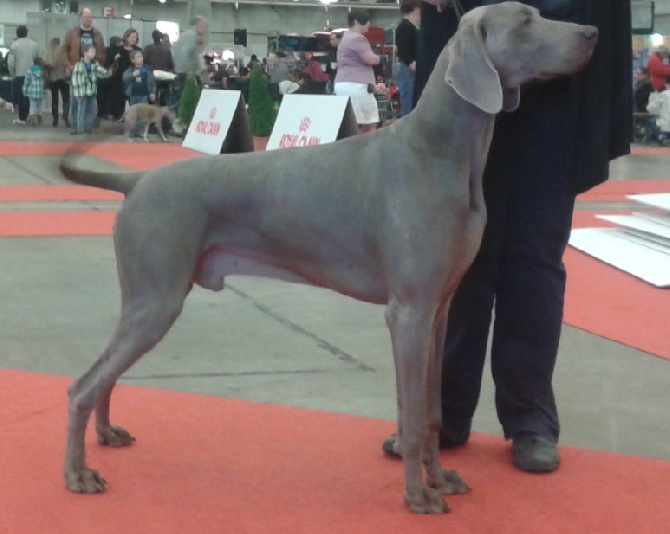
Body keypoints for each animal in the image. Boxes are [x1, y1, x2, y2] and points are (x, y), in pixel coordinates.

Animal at [60, 3, 600, 516]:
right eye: (526, 21)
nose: (592, 33)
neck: (440, 151)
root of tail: (137, 180)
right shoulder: (408, 312)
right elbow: (411, 416)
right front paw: (417, 495)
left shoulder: (439, 310)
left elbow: (431, 411)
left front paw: (441, 478)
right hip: (157, 300)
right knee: (82, 386)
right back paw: (78, 474)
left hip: (148, 301)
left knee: (103, 375)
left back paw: (106, 435)